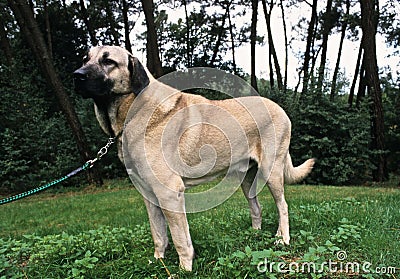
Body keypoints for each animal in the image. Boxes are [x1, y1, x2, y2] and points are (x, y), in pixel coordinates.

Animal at [73, 45, 314, 272]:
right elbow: (158, 234)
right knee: (257, 207)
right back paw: (255, 235)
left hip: (271, 172)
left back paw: (282, 239)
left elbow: (180, 238)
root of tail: (280, 109)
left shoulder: (169, 193)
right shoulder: (148, 195)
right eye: (85, 59)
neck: (132, 111)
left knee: (282, 206)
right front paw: (158, 261)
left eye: (109, 61)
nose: (77, 75)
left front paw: (184, 268)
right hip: (247, 179)